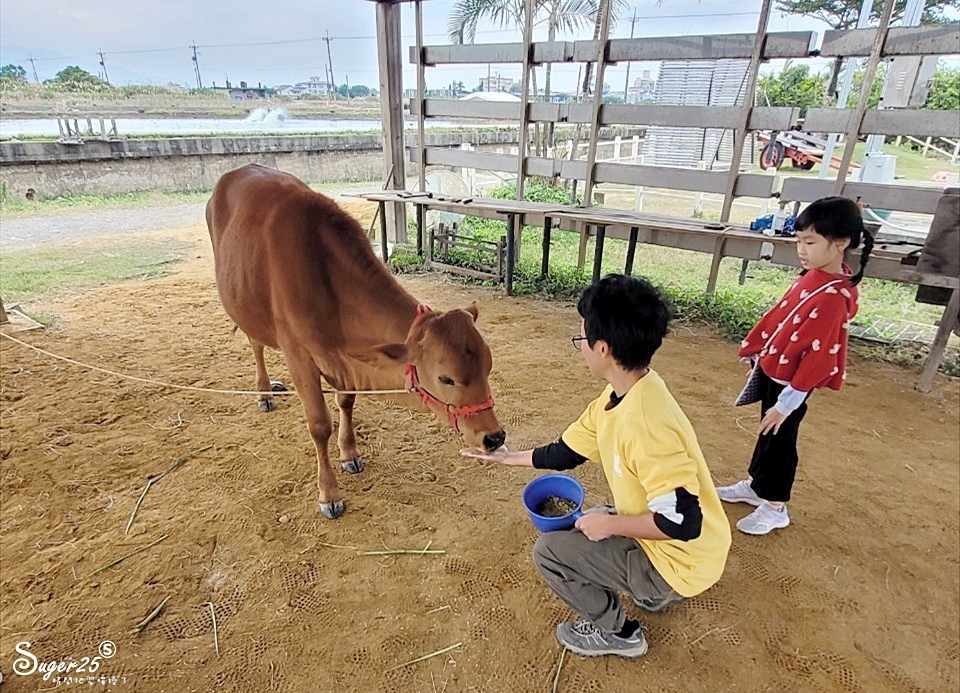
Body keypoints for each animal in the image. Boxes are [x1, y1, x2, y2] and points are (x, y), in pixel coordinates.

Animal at [206, 165, 506, 516]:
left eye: (488, 368)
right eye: (446, 378)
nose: (494, 437)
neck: (327, 281)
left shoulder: (345, 360)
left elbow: (346, 402)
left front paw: (349, 454)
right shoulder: (299, 356)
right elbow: (319, 425)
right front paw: (329, 493)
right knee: (255, 343)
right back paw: (265, 392)